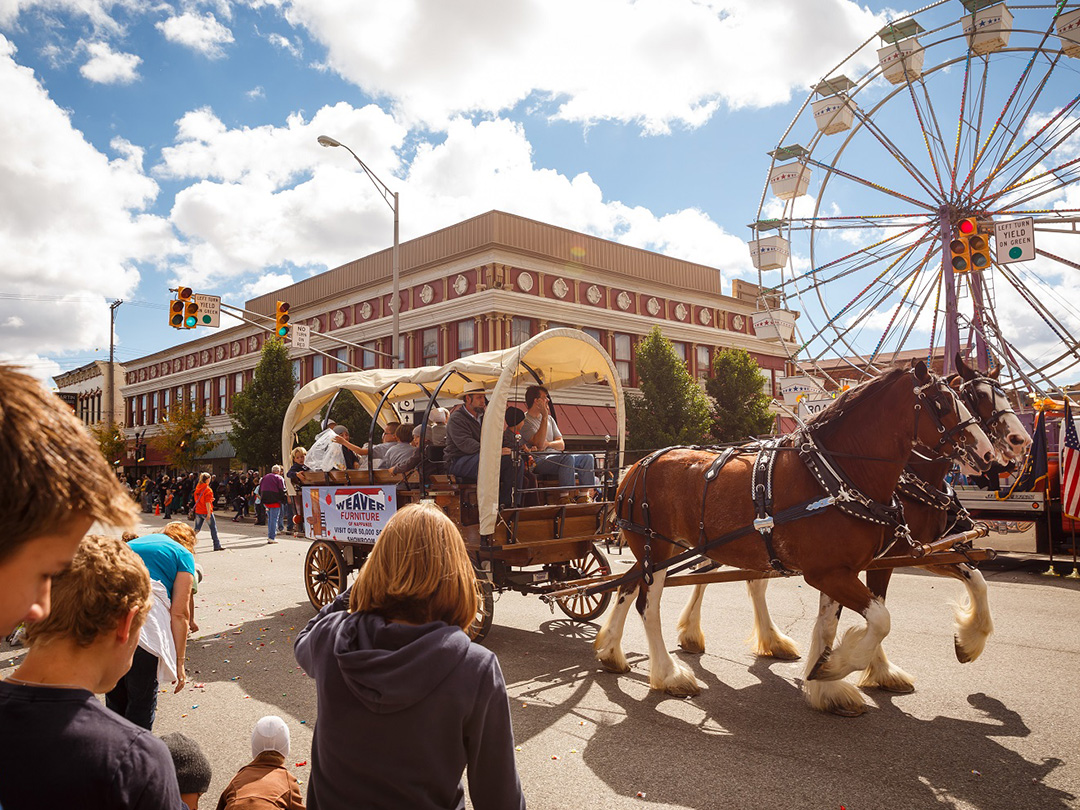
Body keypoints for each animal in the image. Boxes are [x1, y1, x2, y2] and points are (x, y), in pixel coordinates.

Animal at [596, 360, 989, 717]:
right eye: (941, 402)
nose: (987, 453)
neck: (837, 475)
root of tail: (634, 467)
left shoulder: (850, 567)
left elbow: (833, 624)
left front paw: (829, 686)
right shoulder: (830, 572)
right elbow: (880, 619)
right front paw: (837, 666)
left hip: (661, 551)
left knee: (627, 586)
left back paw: (611, 651)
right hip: (659, 548)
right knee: (648, 605)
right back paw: (669, 675)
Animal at [678, 354, 1032, 708]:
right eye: (973, 398)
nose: (1019, 442)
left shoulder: (912, 552)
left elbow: (976, 581)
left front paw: (965, 643)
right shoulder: (890, 555)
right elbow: (877, 613)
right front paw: (855, 668)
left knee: (751, 582)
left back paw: (772, 640)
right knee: (703, 574)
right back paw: (691, 634)